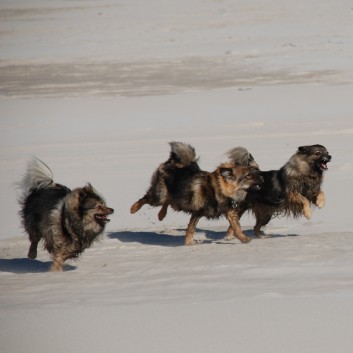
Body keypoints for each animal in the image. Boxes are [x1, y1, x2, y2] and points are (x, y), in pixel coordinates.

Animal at [131, 142, 262, 243]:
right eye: (247, 175)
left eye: (251, 171)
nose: (262, 178)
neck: (218, 190)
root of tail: (173, 161)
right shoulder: (197, 212)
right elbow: (191, 229)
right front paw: (189, 244)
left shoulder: (230, 211)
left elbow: (236, 227)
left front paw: (244, 239)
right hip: (159, 196)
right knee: (147, 198)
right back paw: (133, 209)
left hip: (176, 200)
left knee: (168, 201)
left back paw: (161, 215)